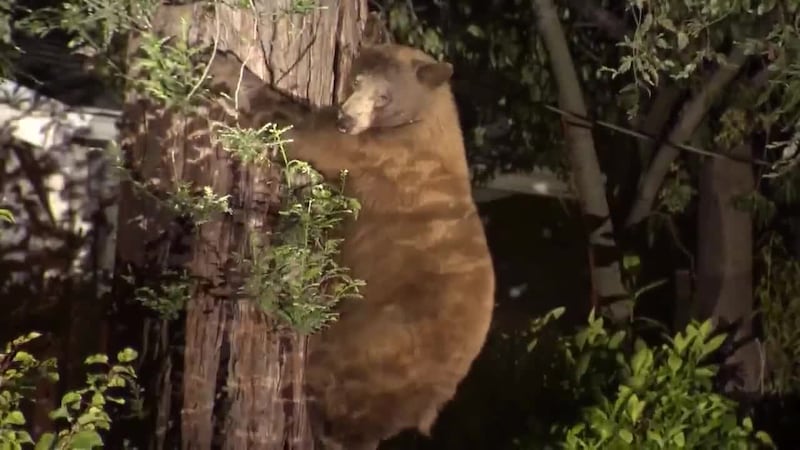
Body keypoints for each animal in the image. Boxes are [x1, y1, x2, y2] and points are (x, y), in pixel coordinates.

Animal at [207, 44, 496, 450]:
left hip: (377, 340)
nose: (346, 118)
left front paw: (226, 68)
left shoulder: (380, 152)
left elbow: (301, 135)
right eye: (357, 80)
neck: (420, 118)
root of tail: (434, 397)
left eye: (384, 96)